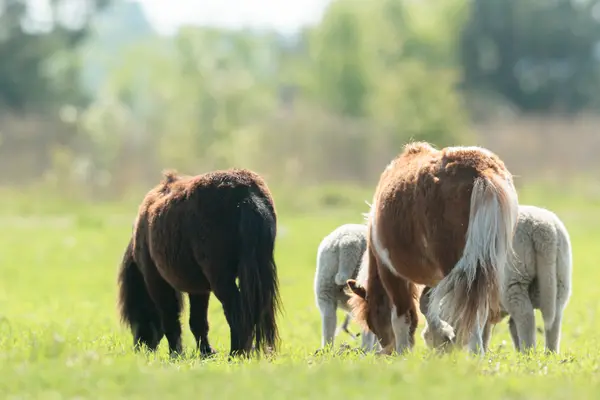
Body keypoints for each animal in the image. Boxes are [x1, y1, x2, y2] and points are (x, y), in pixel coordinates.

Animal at [117, 167, 282, 358]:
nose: (141, 347)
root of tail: (246, 193)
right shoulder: (198, 288)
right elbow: (198, 322)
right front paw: (206, 352)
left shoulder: (157, 282)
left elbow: (170, 318)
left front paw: (176, 353)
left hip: (220, 278)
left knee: (236, 310)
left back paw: (235, 354)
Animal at [346, 142, 520, 354]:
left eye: (371, 320)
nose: (387, 350)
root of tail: (481, 170)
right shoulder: (435, 278)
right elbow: (425, 302)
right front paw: (441, 338)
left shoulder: (391, 273)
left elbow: (402, 316)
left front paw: (407, 351)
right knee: (478, 311)